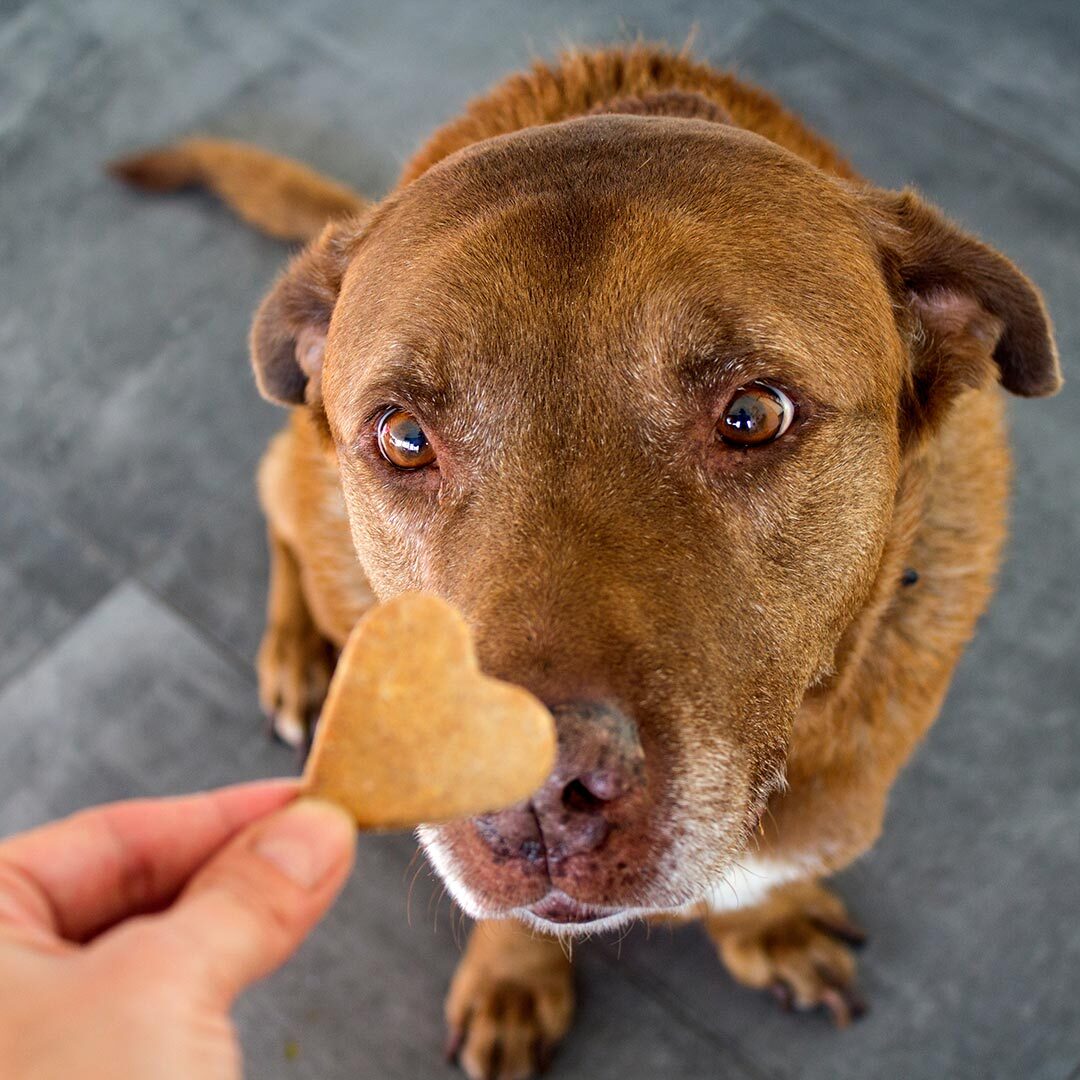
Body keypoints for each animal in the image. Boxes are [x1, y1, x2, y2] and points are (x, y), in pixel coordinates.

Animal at [113, 44, 1058, 1080]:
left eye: (753, 413)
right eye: (403, 436)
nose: (530, 799)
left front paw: (765, 925)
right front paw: (512, 978)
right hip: (310, 504)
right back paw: (299, 658)